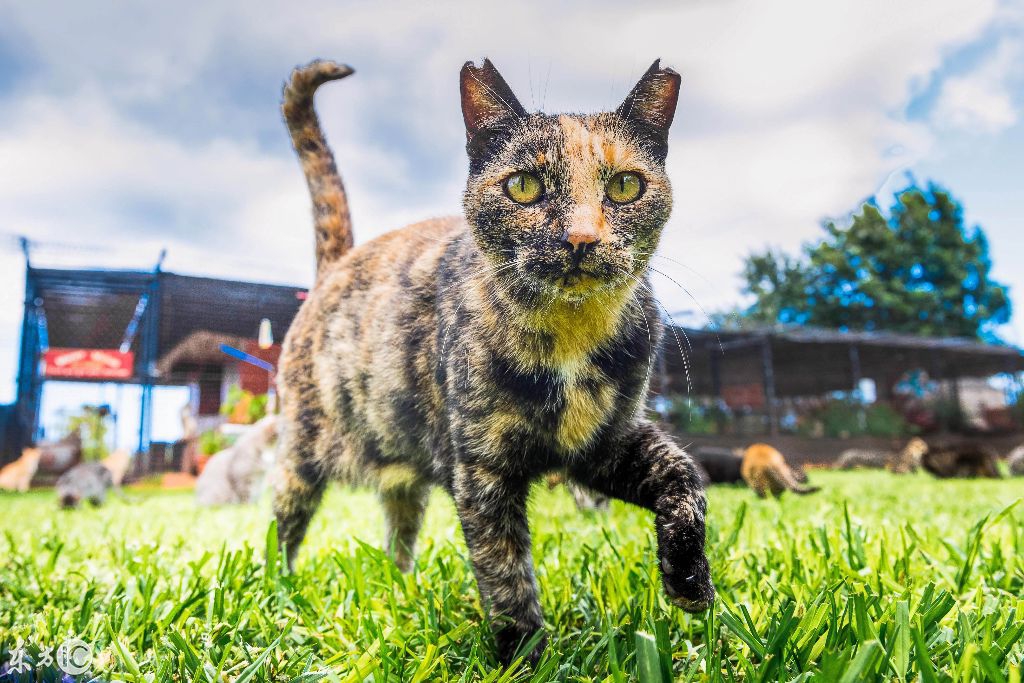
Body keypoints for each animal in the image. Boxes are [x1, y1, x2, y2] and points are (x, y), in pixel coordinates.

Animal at [276, 56, 716, 663]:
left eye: (626, 186)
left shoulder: (604, 442)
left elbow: (685, 480)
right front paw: (526, 658)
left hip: (403, 472)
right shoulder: (482, 471)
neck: (570, 341)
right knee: (284, 527)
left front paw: (691, 581)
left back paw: (402, 588)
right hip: (302, 455)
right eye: (524, 186)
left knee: (399, 527)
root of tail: (339, 265)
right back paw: (280, 591)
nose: (581, 238)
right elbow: (506, 575)